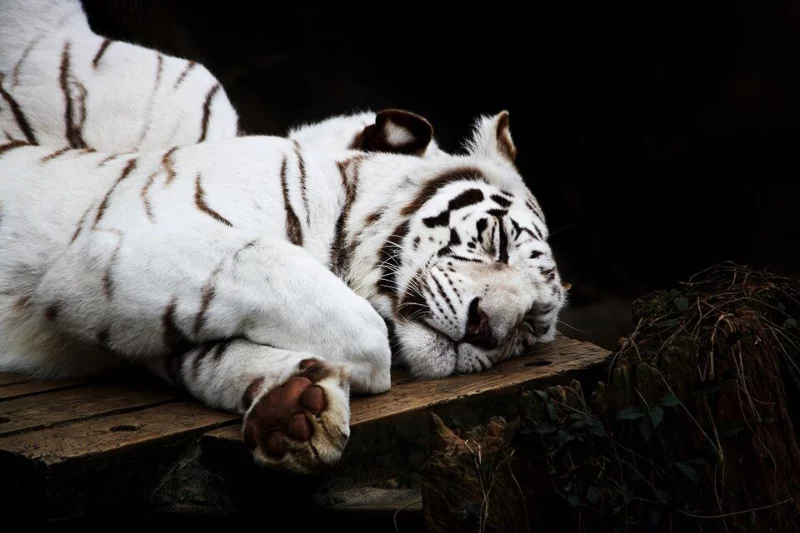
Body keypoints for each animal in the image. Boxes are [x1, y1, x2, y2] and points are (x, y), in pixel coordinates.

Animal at [0, 1, 569, 475]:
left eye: (531, 323)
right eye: (498, 242)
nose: (485, 329)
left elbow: (195, 352)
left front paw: (292, 407)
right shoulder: (117, 249)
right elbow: (361, 331)